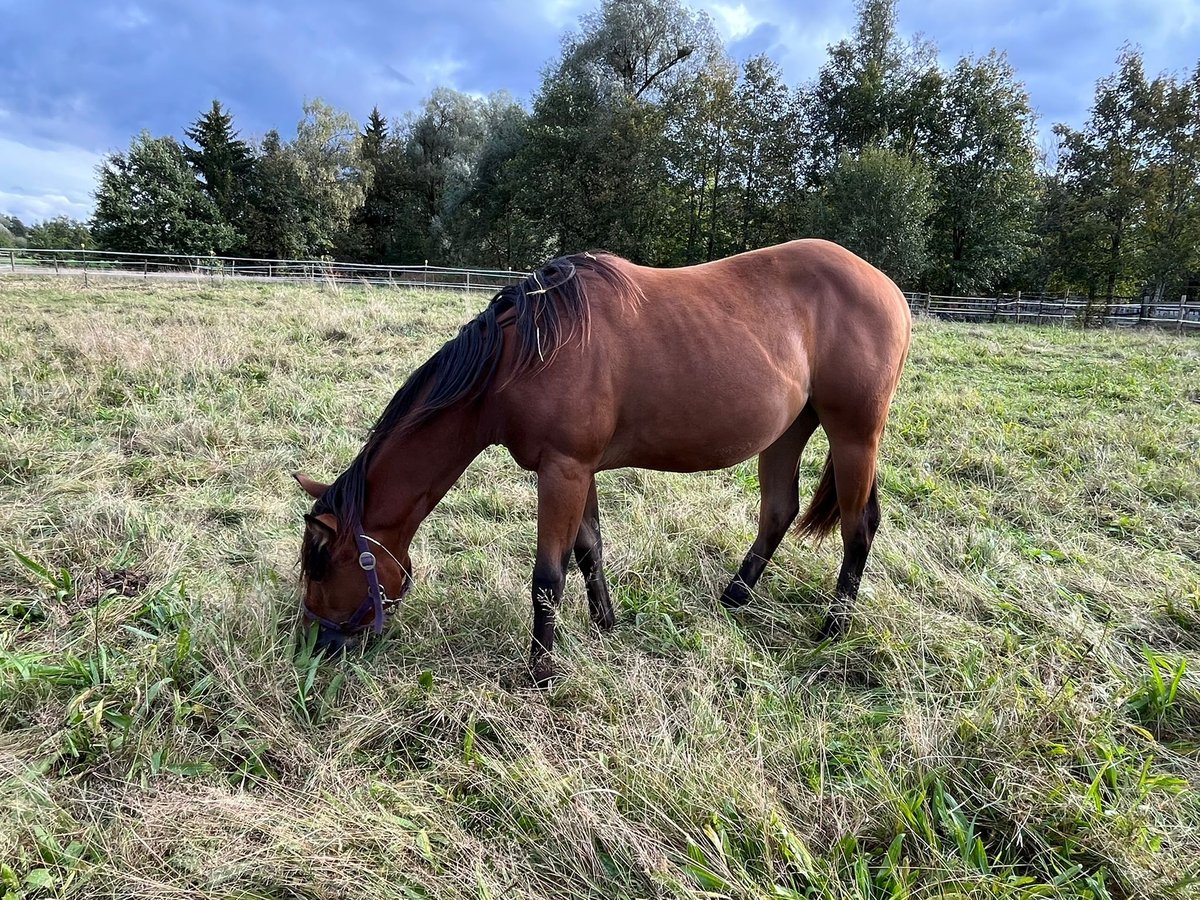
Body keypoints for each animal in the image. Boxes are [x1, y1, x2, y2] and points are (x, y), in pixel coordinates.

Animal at [292, 237, 907, 681]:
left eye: (322, 565)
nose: (314, 646)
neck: (526, 354)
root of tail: (889, 289)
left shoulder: (561, 470)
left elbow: (547, 575)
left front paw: (541, 671)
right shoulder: (578, 469)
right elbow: (589, 548)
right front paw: (605, 623)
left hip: (854, 436)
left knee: (858, 527)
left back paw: (833, 627)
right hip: (788, 432)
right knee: (779, 512)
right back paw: (735, 597)